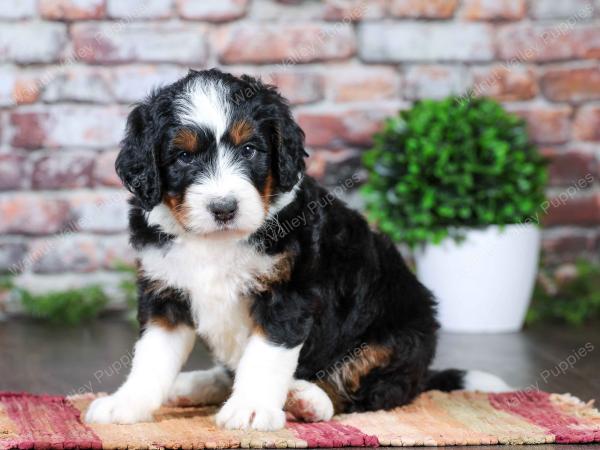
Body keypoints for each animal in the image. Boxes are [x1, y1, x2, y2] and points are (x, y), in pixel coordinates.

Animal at [84, 68, 506, 430]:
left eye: (250, 150)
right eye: (184, 156)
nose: (223, 208)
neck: (217, 242)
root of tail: (423, 372)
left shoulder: (288, 295)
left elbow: (264, 358)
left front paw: (252, 409)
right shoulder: (164, 292)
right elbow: (151, 357)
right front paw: (126, 404)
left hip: (398, 335)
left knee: (372, 390)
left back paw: (307, 399)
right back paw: (191, 386)